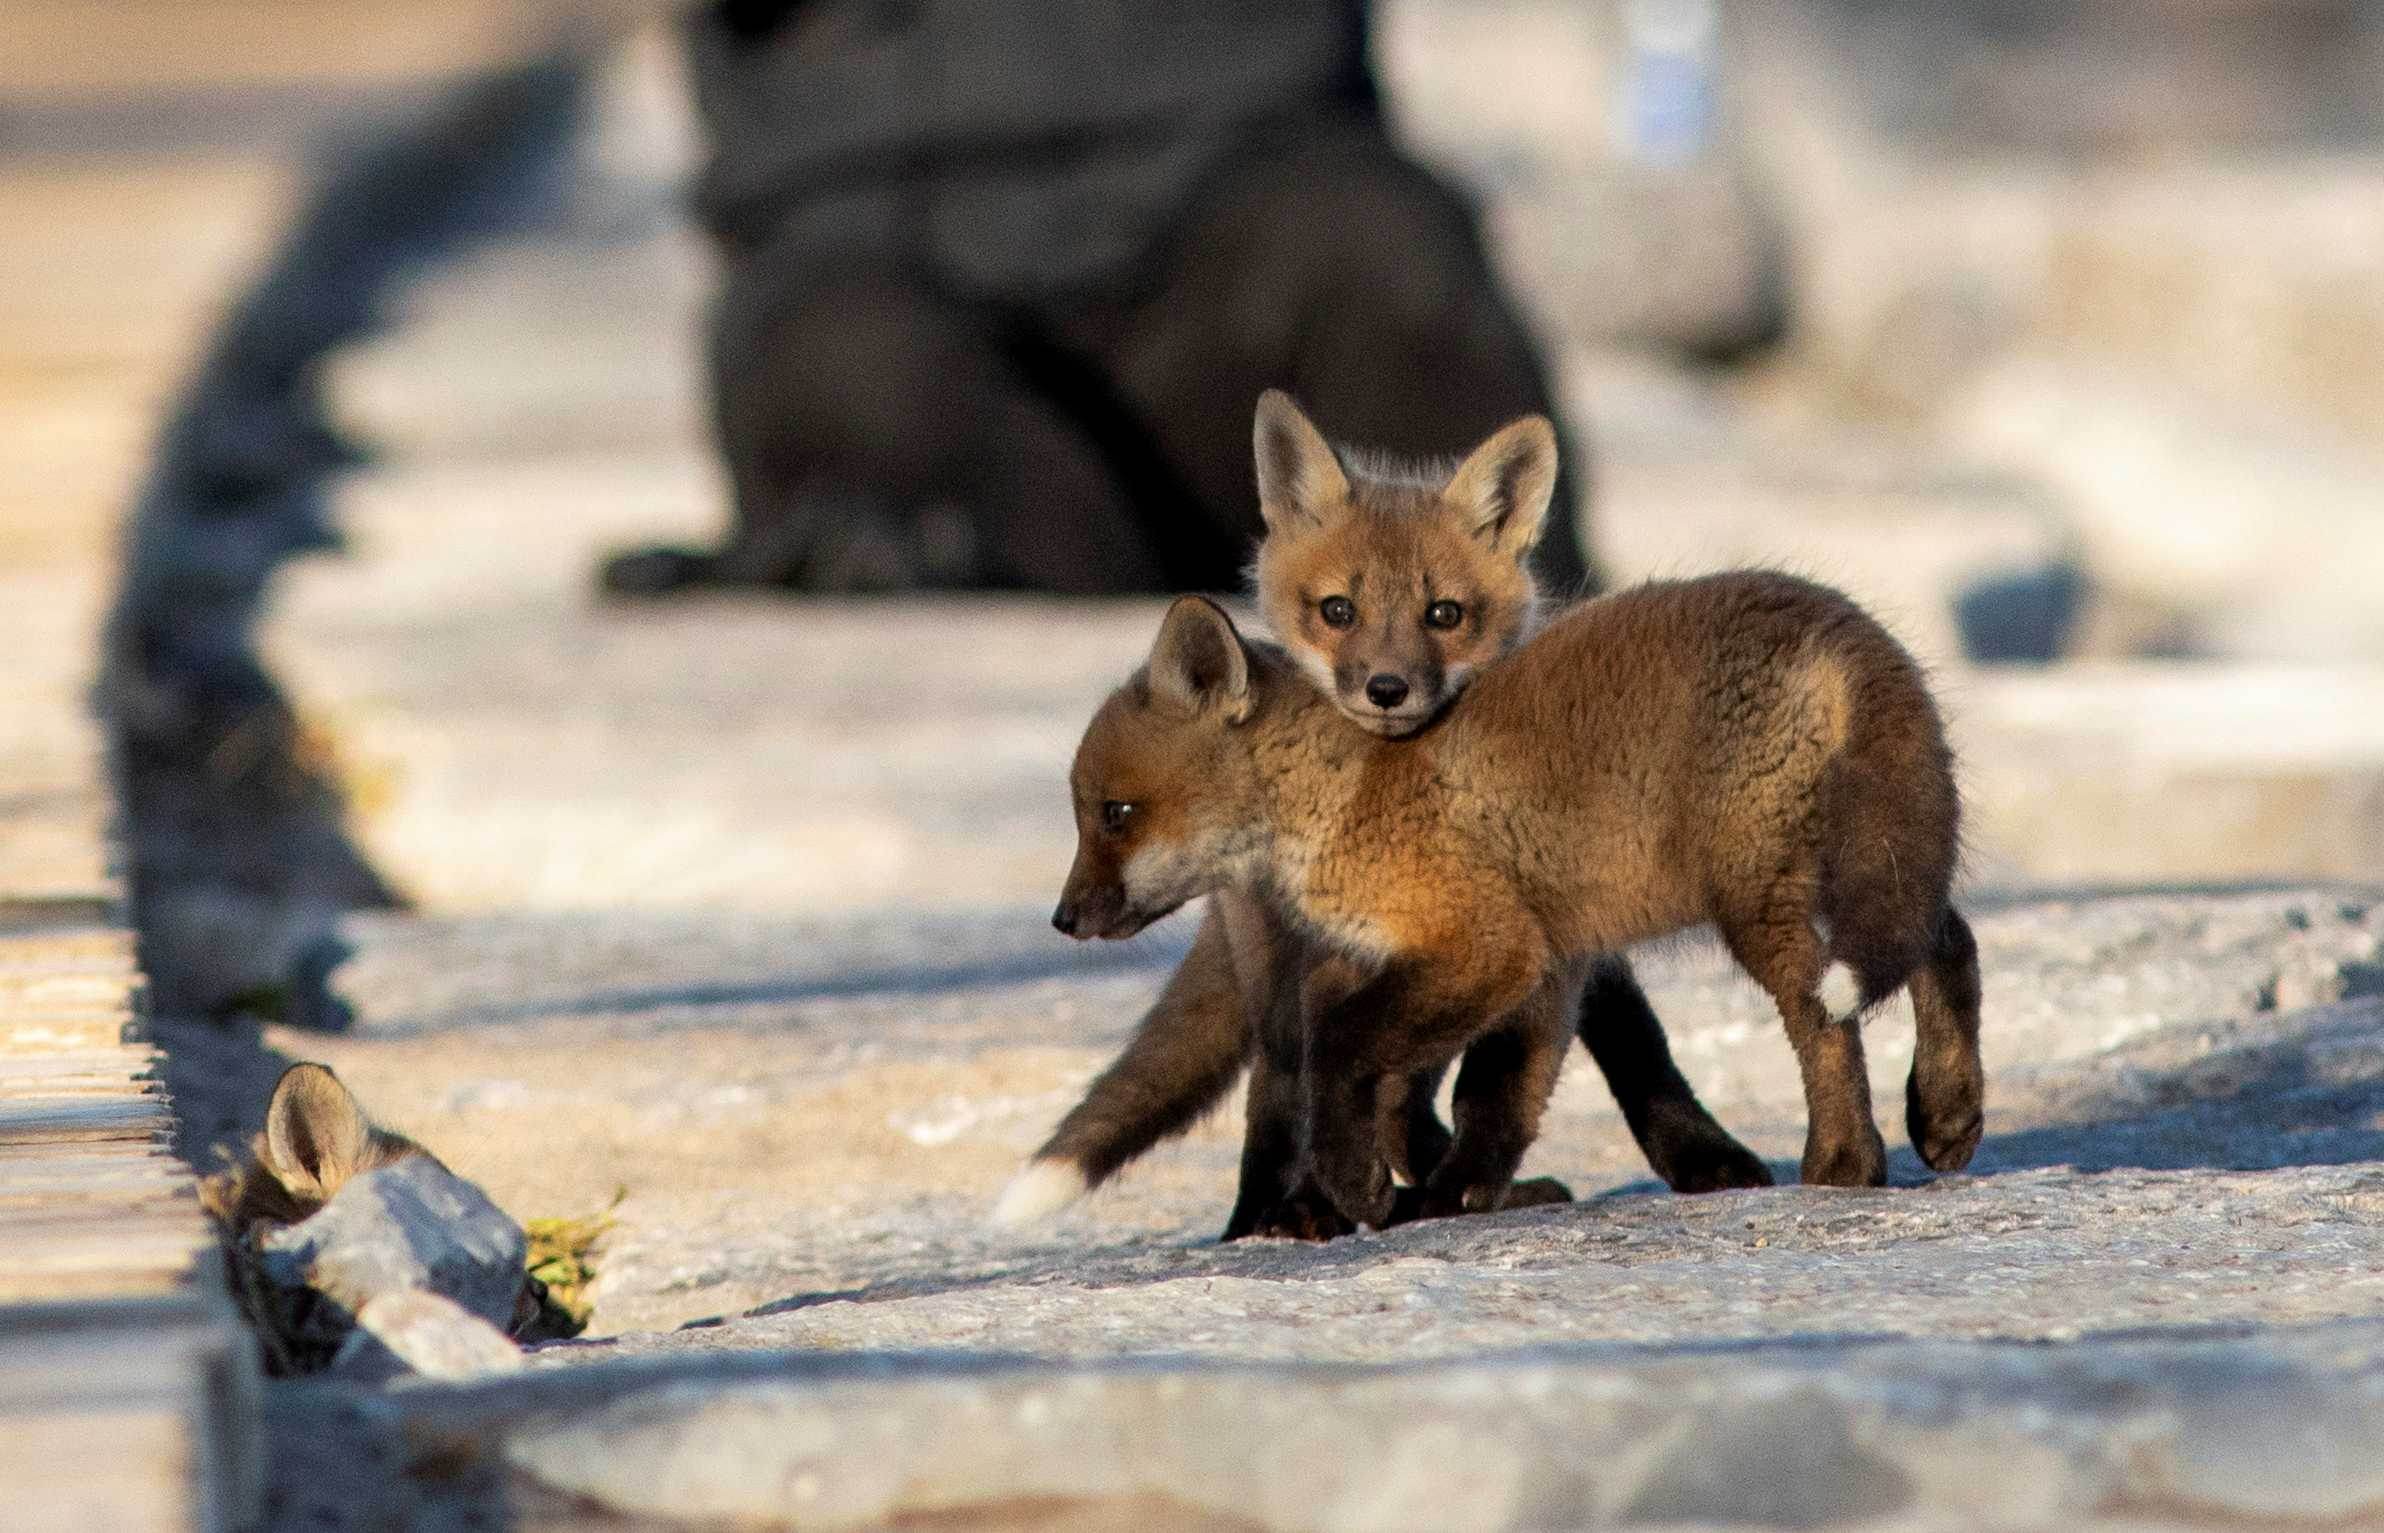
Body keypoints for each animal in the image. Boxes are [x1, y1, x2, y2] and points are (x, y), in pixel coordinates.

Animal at [999, 396, 1769, 1236]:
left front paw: (1700, 1152)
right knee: (1280, 1092)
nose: (1388, 689)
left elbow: (1614, 1037)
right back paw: (1283, 1209)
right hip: (1278, 976)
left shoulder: (1541, 904)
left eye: (1445, 614)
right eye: (1338, 610)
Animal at [1051, 563, 1985, 1231]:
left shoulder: (1491, 943)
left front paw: (1373, 1188)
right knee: (1947, 942)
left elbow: (1357, 1052)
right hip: (1867, 868)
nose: (1062, 919)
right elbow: (1483, 1091)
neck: (1349, 794)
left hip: (1761, 903)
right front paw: (1437, 1193)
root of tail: (1842, 624)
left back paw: (1843, 1164)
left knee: (1825, 1021)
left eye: (1116, 814)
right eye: (1089, 815)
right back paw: (1947, 1112)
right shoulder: (1533, 958)